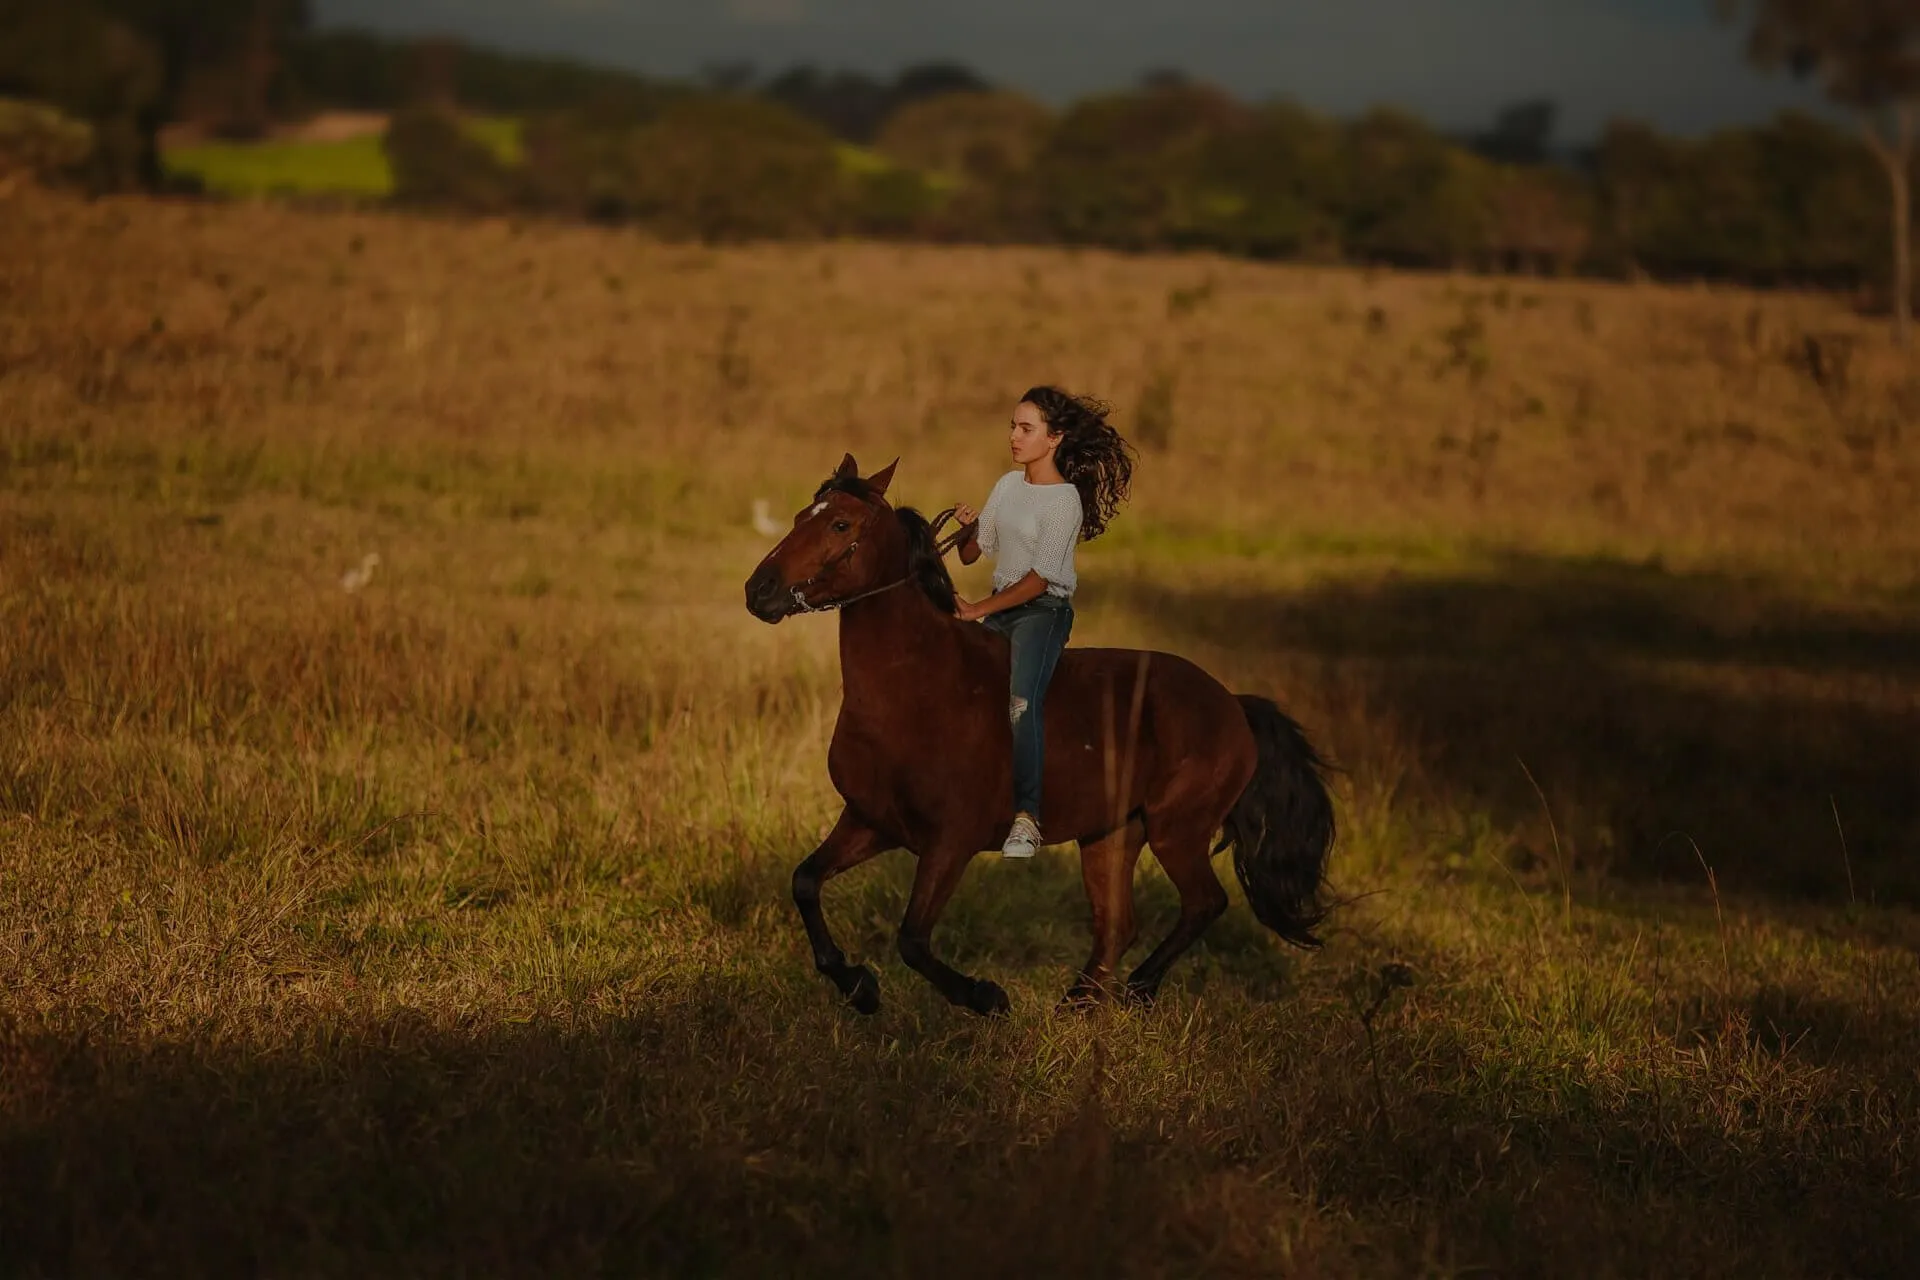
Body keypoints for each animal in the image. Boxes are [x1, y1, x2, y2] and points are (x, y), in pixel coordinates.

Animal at [743, 454, 1336, 1016]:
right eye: (799, 517)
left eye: (840, 524)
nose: (759, 590)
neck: (916, 691)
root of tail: (1233, 704)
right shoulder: (870, 822)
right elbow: (804, 882)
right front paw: (860, 988)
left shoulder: (950, 843)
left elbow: (912, 939)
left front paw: (987, 997)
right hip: (1112, 835)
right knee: (1118, 925)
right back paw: (1075, 1005)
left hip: (1177, 832)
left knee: (1204, 903)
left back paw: (1136, 990)